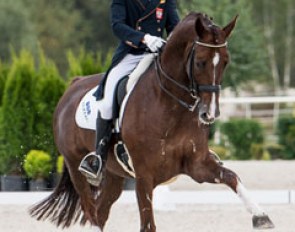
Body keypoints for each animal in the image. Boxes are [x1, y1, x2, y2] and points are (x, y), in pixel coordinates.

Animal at [30, 13, 276, 232]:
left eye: (225, 62)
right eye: (200, 62)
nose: (210, 113)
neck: (170, 106)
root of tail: (73, 85)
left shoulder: (197, 165)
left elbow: (232, 177)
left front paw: (261, 216)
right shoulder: (144, 176)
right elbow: (148, 225)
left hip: (114, 175)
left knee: (100, 212)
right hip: (77, 168)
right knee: (90, 211)